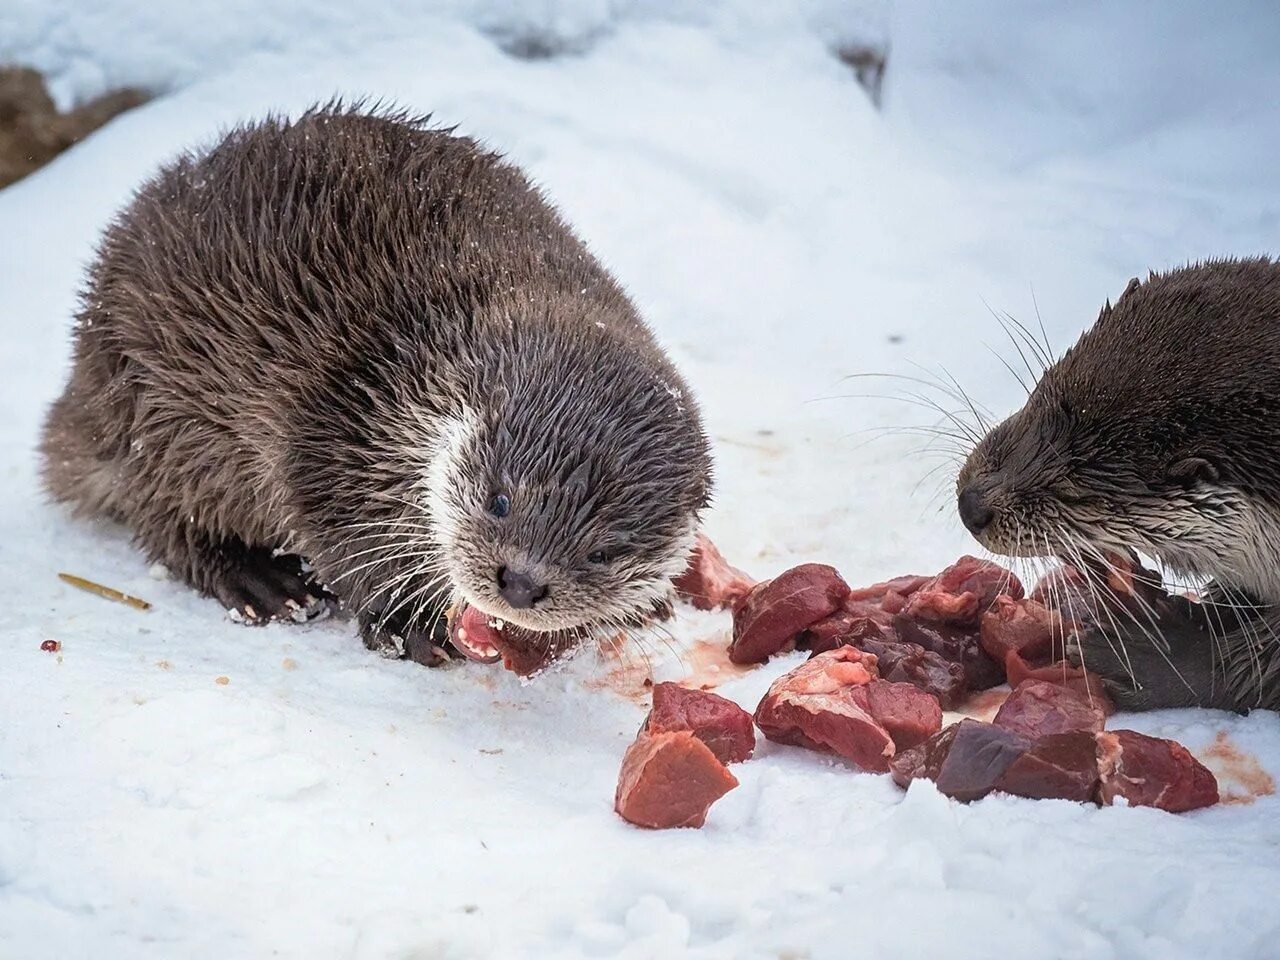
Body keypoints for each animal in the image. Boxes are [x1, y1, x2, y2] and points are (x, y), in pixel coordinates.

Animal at [40, 101, 716, 665]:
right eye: (499, 499)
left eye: (605, 552)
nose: (521, 583)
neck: (417, 353)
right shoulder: (328, 421)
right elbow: (337, 527)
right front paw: (406, 621)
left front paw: (640, 607)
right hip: (156, 408)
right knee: (164, 515)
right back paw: (259, 580)